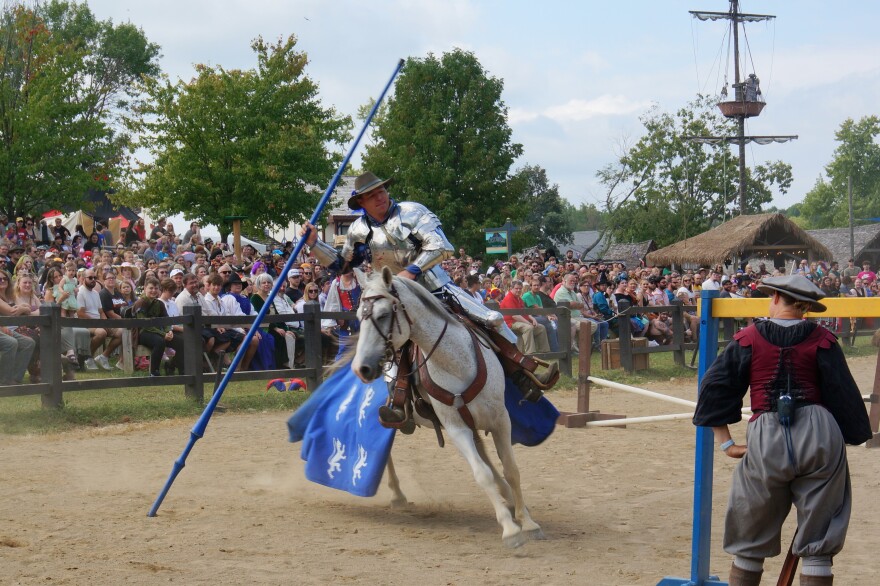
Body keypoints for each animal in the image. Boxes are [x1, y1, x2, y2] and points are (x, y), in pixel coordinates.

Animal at [352, 266, 544, 548]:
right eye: (359, 317)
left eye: (383, 314)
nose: (362, 368)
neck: (455, 362)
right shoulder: (456, 429)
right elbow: (481, 474)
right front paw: (510, 528)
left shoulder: (500, 419)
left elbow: (511, 469)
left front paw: (527, 521)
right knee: (383, 452)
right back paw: (397, 494)